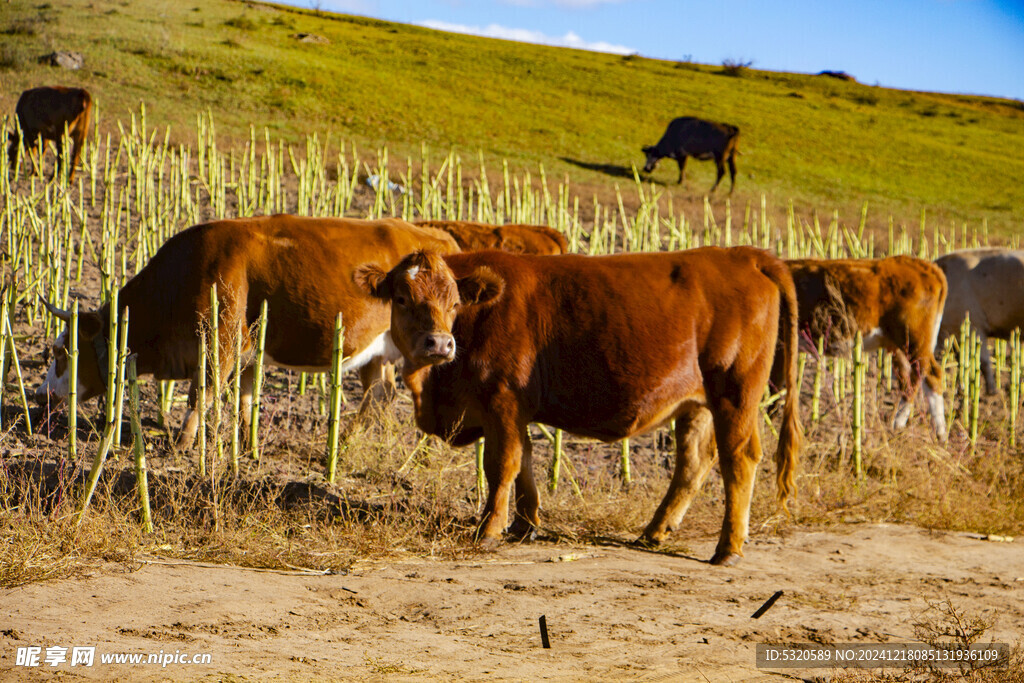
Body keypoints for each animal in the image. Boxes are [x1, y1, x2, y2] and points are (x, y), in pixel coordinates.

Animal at [36, 216, 458, 446]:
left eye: (61, 351)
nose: (42, 395)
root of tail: (434, 237)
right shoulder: (246, 353)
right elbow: (244, 400)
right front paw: (246, 445)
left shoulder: (218, 344)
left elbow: (201, 394)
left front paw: (184, 444)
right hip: (379, 353)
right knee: (379, 393)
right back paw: (354, 437)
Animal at [356, 248, 802, 565]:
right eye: (401, 298)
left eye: (454, 303)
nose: (439, 343)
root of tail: (745, 254)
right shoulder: (515, 411)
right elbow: (525, 462)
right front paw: (525, 525)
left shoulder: (503, 401)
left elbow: (502, 465)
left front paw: (489, 529)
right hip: (697, 404)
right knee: (694, 461)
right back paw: (655, 531)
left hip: (735, 392)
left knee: (739, 459)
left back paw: (728, 548)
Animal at [782, 258, 950, 444]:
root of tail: (926, 266)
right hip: (899, 344)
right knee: (911, 378)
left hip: (914, 338)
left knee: (931, 375)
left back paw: (933, 431)